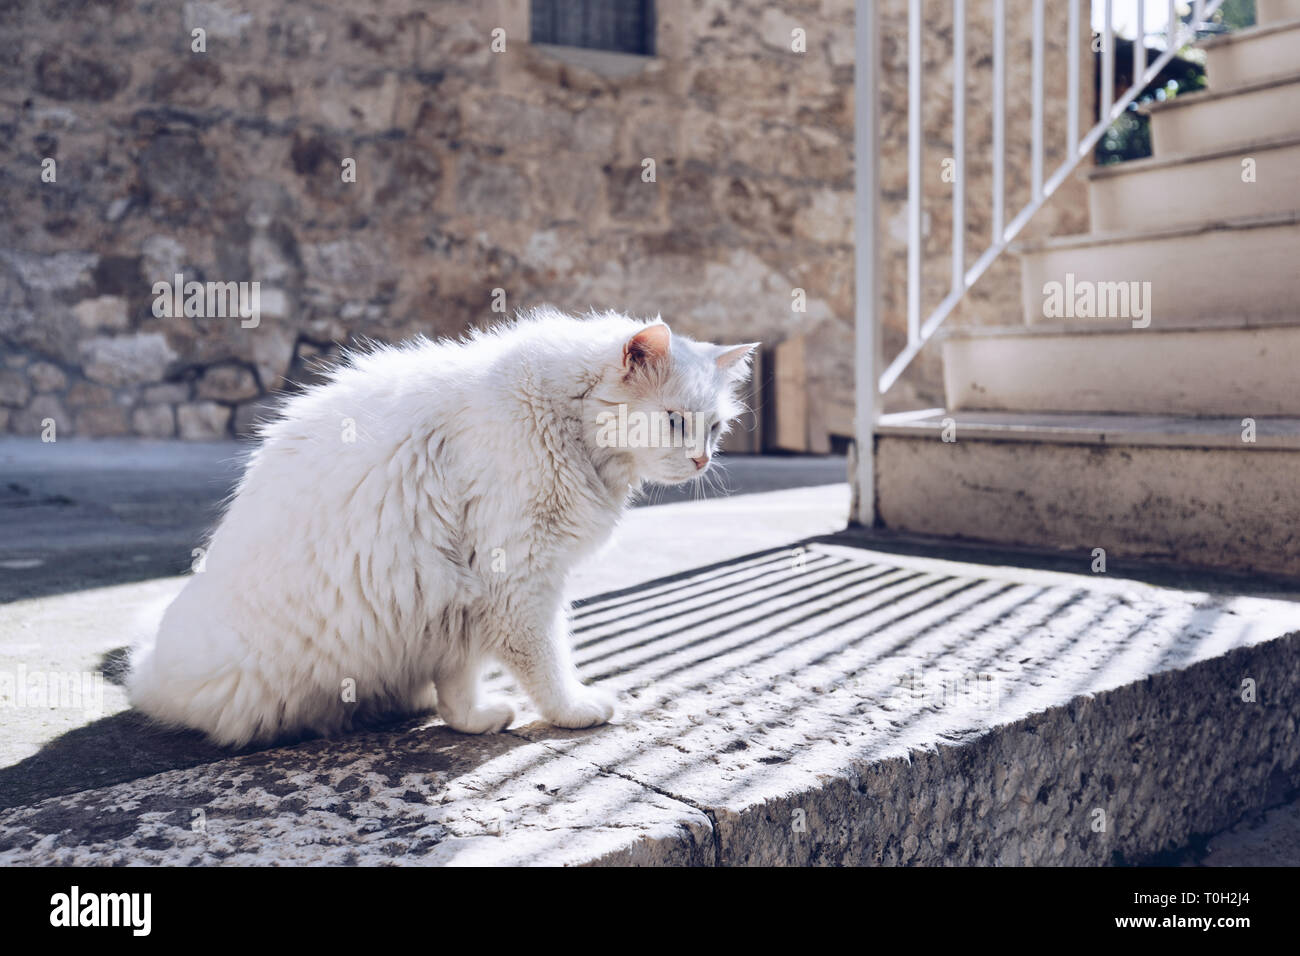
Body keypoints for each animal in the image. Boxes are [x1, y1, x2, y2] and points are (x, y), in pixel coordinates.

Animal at [126, 312, 759, 749]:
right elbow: (547, 662)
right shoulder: (518, 581)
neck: (559, 412)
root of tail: (151, 669)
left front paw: (473, 720)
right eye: (675, 421)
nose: (702, 461)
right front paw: (574, 710)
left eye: (715, 427)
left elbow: (460, 681)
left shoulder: (462, 592)